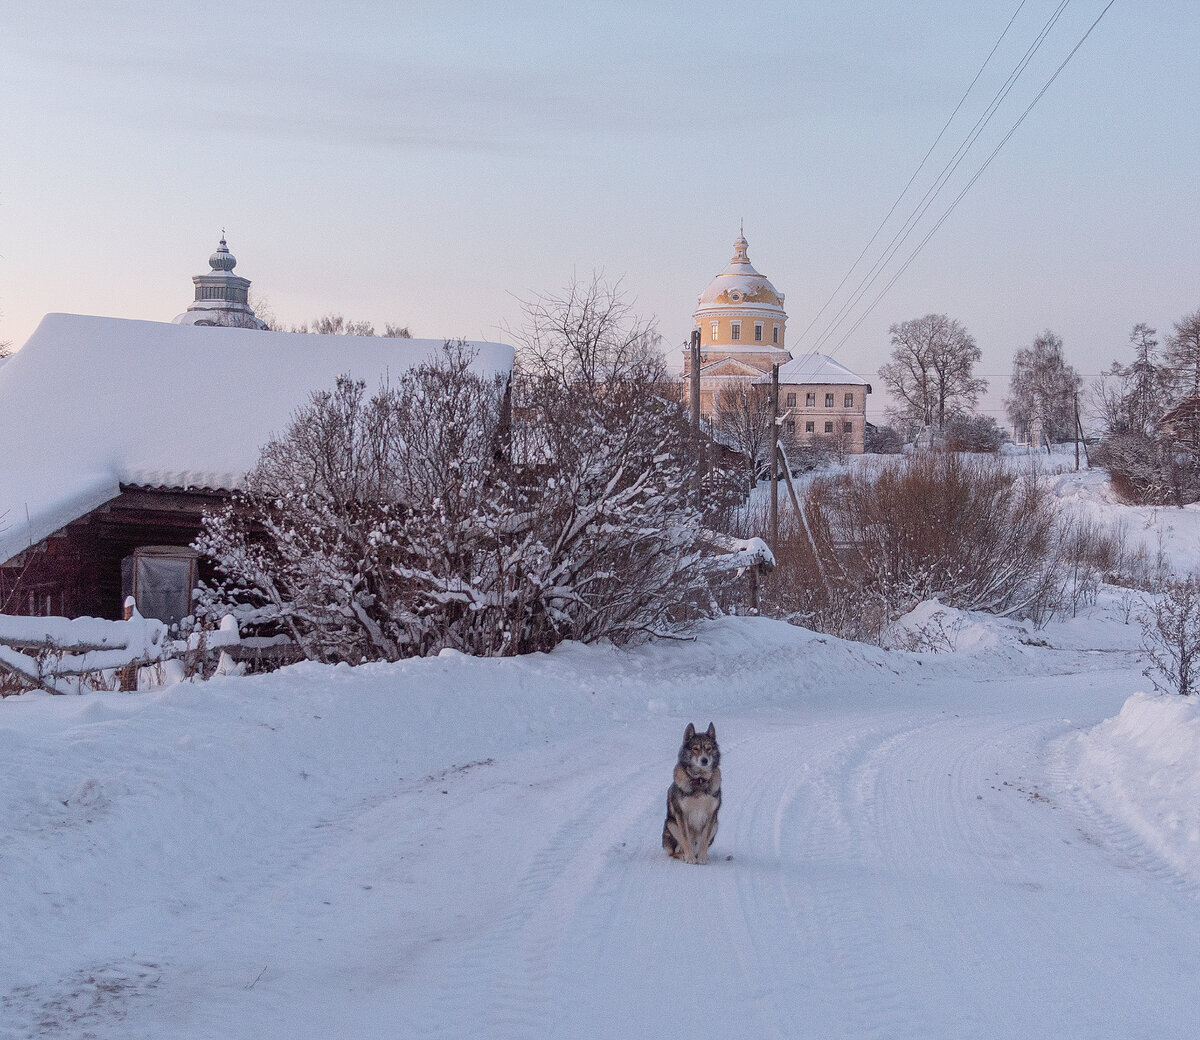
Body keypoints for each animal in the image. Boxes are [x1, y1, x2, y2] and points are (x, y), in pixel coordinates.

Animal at [667, 719, 720, 868]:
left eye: (708, 748)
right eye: (695, 748)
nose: (704, 760)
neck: (699, 780)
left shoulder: (711, 815)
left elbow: (704, 839)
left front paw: (702, 858)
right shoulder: (681, 814)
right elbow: (685, 838)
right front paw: (689, 857)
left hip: (716, 825)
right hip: (671, 824)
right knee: (674, 851)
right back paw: (684, 855)